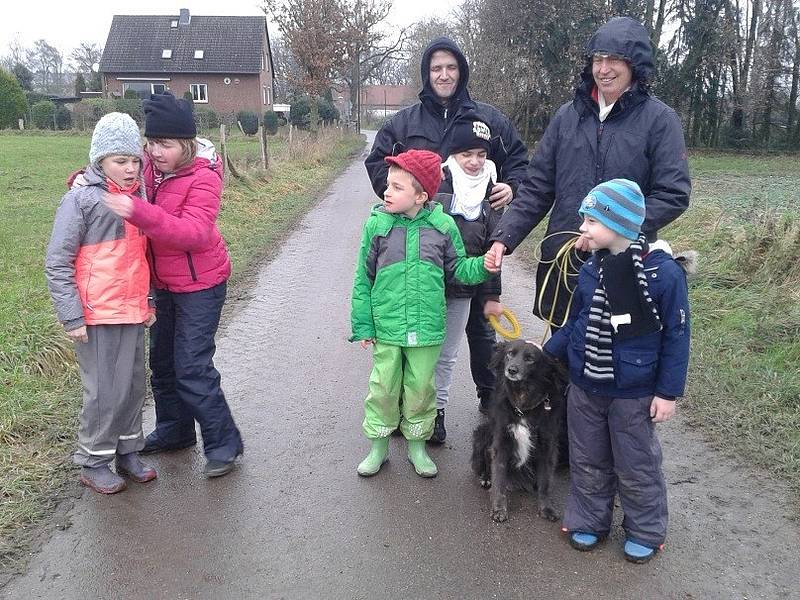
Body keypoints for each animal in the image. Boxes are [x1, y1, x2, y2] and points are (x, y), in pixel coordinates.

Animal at [471, 339, 568, 523]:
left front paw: (546, 508)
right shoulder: (501, 441)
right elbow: (499, 478)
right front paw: (499, 509)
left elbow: (545, 482)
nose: (512, 370)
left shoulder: (547, 446)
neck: (523, 404)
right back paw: (485, 477)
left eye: (530, 359)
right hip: (482, 433)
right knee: (484, 460)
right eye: (510, 353)